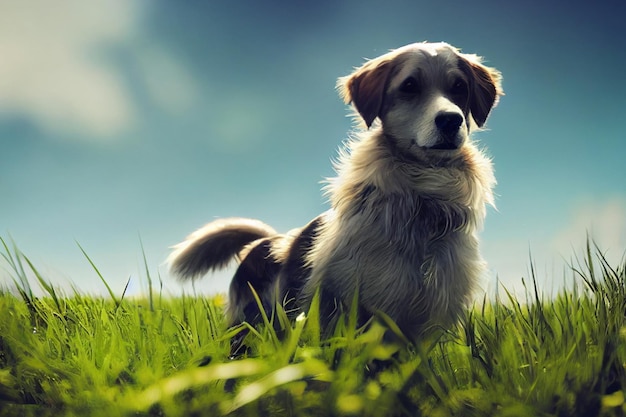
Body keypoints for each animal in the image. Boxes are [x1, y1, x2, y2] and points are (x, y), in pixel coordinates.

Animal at [168, 41, 500, 344]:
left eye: (459, 87)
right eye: (409, 86)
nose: (451, 120)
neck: (421, 204)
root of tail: (269, 240)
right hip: (247, 328)